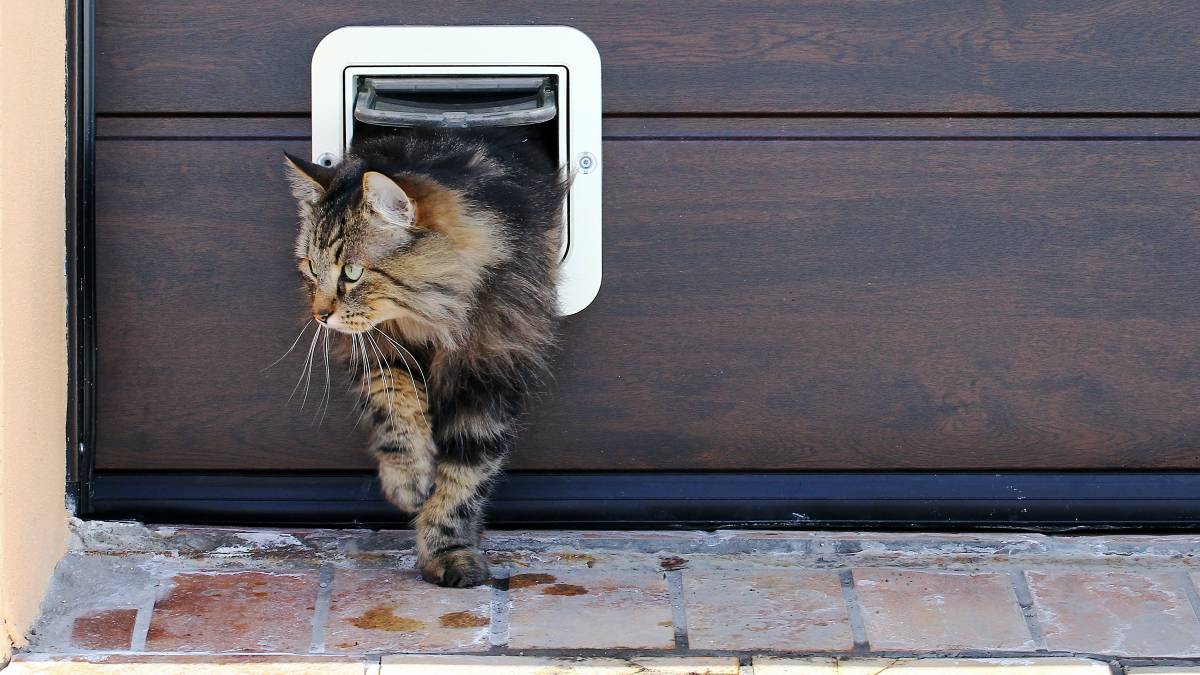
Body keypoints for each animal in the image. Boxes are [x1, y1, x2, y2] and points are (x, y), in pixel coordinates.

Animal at [283, 126, 564, 583]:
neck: (432, 318)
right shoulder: (380, 350)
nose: (320, 315)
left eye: (352, 273)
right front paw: (408, 484)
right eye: (311, 267)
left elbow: (465, 475)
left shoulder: (488, 369)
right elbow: (397, 410)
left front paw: (448, 551)